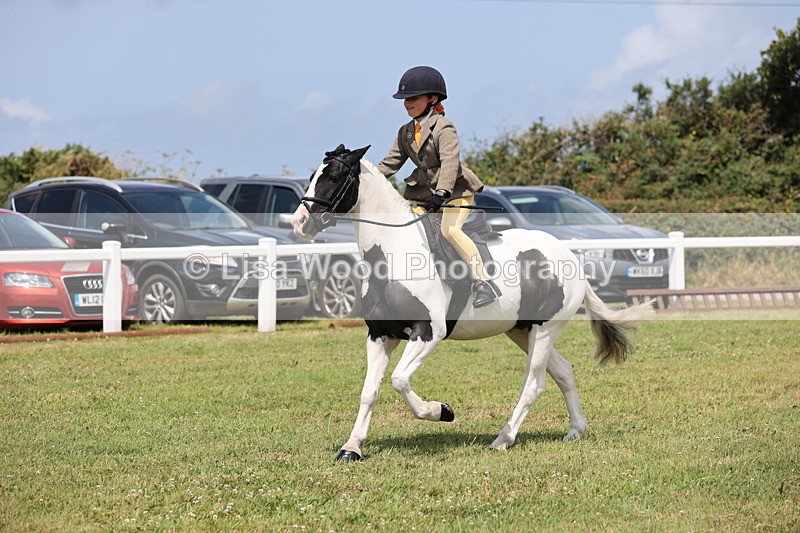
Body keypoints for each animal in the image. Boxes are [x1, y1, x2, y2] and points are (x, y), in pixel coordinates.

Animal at [291, 144, 654, 461]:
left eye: (334, 176)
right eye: (312, 176)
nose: (299, 223)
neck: (393, 250)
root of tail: (569, 257)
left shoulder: (428, 332)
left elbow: (399, 380)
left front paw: (442, 411)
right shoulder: (380, 334)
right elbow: (370, 391)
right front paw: (351, 448)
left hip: (545, 330)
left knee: (534, 384)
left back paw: (503, 439)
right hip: (521, 330)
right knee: (563, 372)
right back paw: (576, 430)